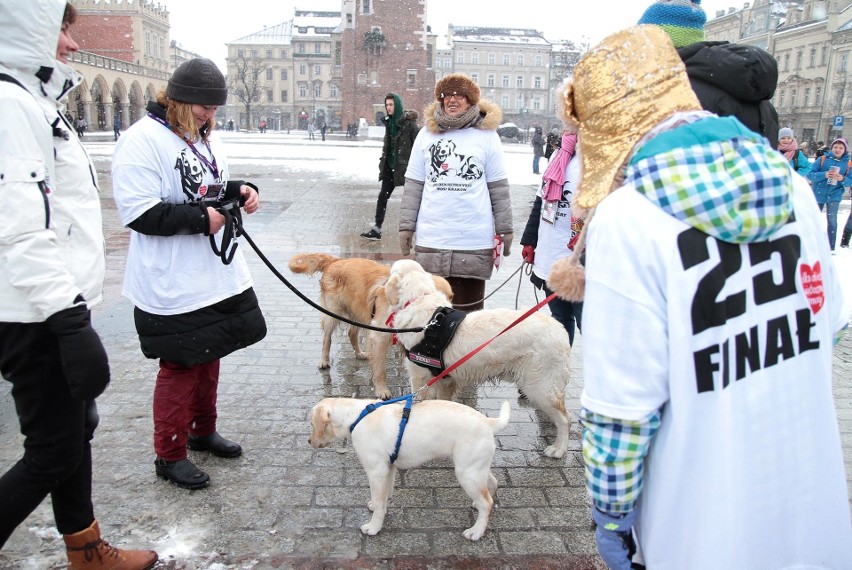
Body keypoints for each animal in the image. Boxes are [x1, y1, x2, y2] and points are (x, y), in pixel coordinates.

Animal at [310, 394, 510, 536]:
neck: (356, 417)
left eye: (312, 424)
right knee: (492, 485)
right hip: (475, 468)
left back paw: (476, 531)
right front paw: (379, 508)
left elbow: (379, 500)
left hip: (466, 473)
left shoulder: (376, 471)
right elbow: (384, 496)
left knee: (487, 503)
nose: (308, 441)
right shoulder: (388, 468)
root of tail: (487, 421)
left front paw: (374, 527)